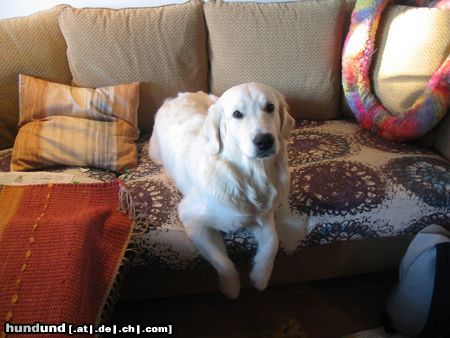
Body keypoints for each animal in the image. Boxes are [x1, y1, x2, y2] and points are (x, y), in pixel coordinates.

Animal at [149, 82, 296, 298]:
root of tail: (177, 96)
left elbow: (272, 244)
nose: (264, 141)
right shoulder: (193, 221)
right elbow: (223, 263)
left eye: (270, 107)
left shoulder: (264, 215)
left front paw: (260, 277)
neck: (250, 176)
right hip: (155, 153)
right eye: (237, 114)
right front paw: (231, 289)